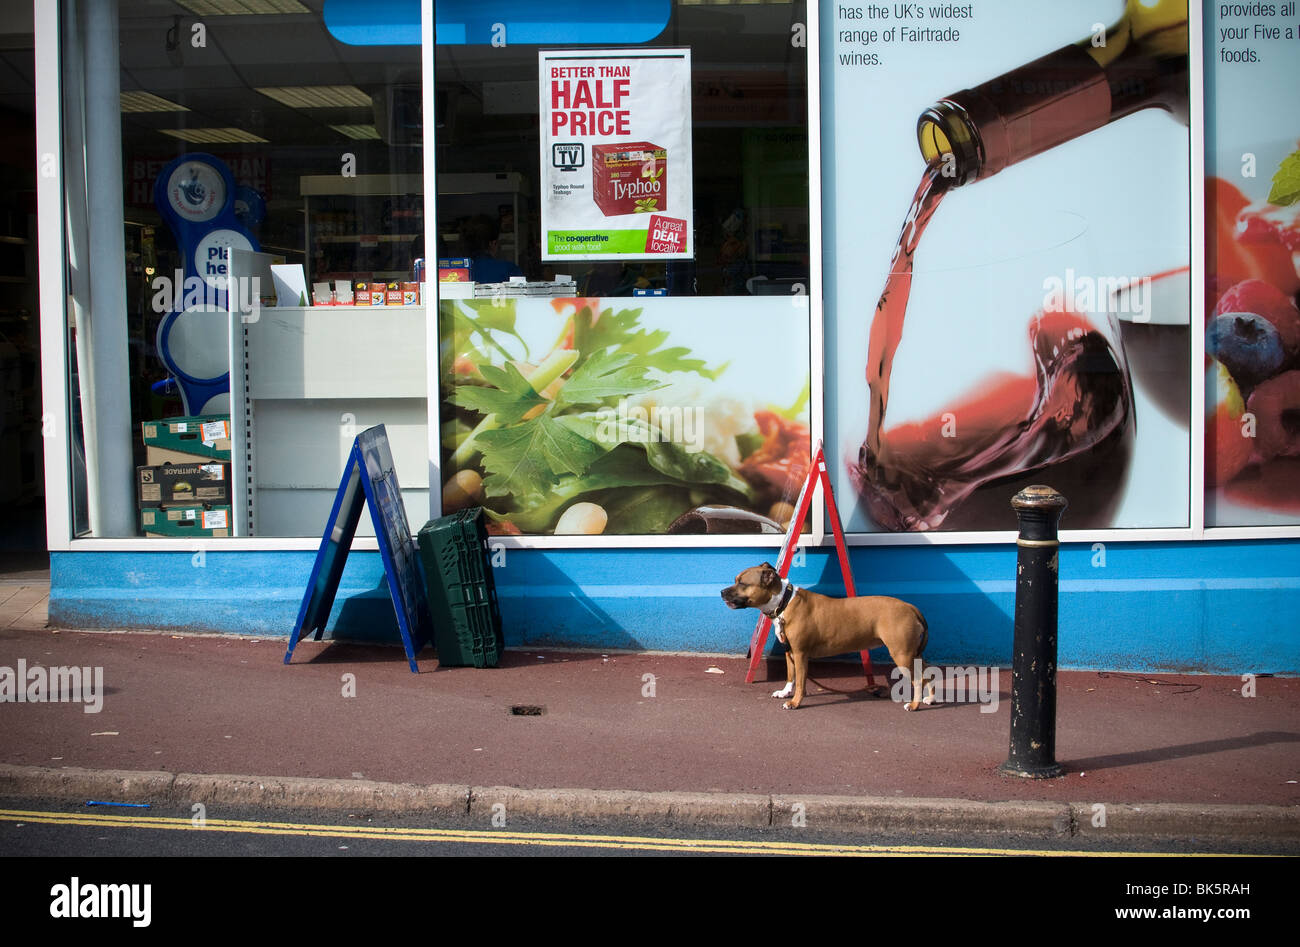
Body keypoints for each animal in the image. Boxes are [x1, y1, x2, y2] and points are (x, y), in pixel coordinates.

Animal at [722, 561, 935, 707]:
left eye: (742, 583)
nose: (722, 592)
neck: (784, 602)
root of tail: (910, 607)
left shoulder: (800, 654)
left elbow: (800, 681)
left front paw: (795, 702)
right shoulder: (789, 652)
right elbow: (791, 676)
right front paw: (785, 692)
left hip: (901, 654)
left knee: (918, 679)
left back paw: (914, 705)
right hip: (912, 654)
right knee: (927, 674)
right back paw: (930, 699)